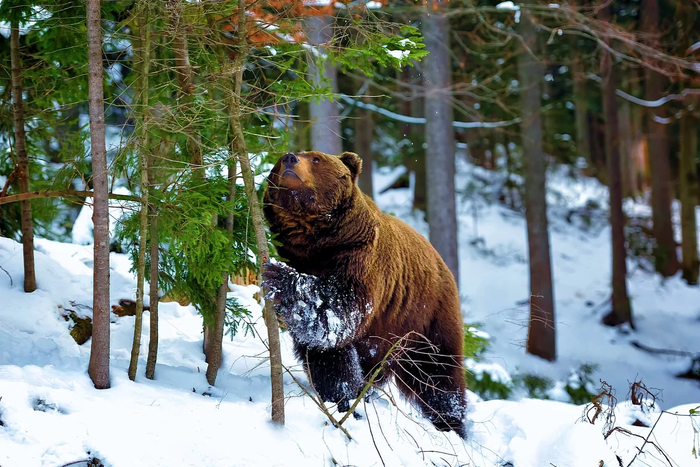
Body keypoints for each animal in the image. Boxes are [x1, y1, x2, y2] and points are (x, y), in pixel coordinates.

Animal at [260, 152, 468, 436]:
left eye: (316, 159)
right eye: (280, 160)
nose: (290, 158)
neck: (316, 243)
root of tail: (442, 262)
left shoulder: (360, 258)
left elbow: (337, 311)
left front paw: (279, 277)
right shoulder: (301, 258)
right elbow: (326, 349)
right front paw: (342, 396)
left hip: (424, 317)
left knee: (436, 372)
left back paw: (450, 423)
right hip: (385, 335)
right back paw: (367, 393)